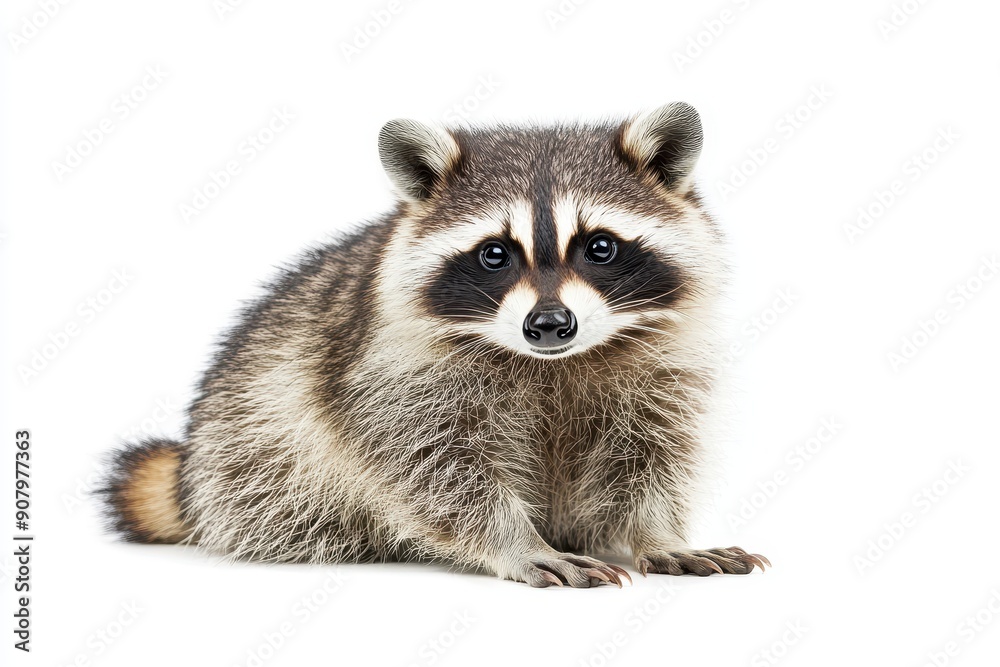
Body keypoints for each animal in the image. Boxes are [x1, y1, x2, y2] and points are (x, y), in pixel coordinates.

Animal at [100, 102, 768, 587]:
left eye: (599, 247)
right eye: (495, 254)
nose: (550, 325)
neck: (553, 362)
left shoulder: (667, 363)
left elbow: (652, 454)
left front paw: (657, 534)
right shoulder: (393, 367)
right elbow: (434, 466)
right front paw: (514, 542)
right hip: (250, 453)